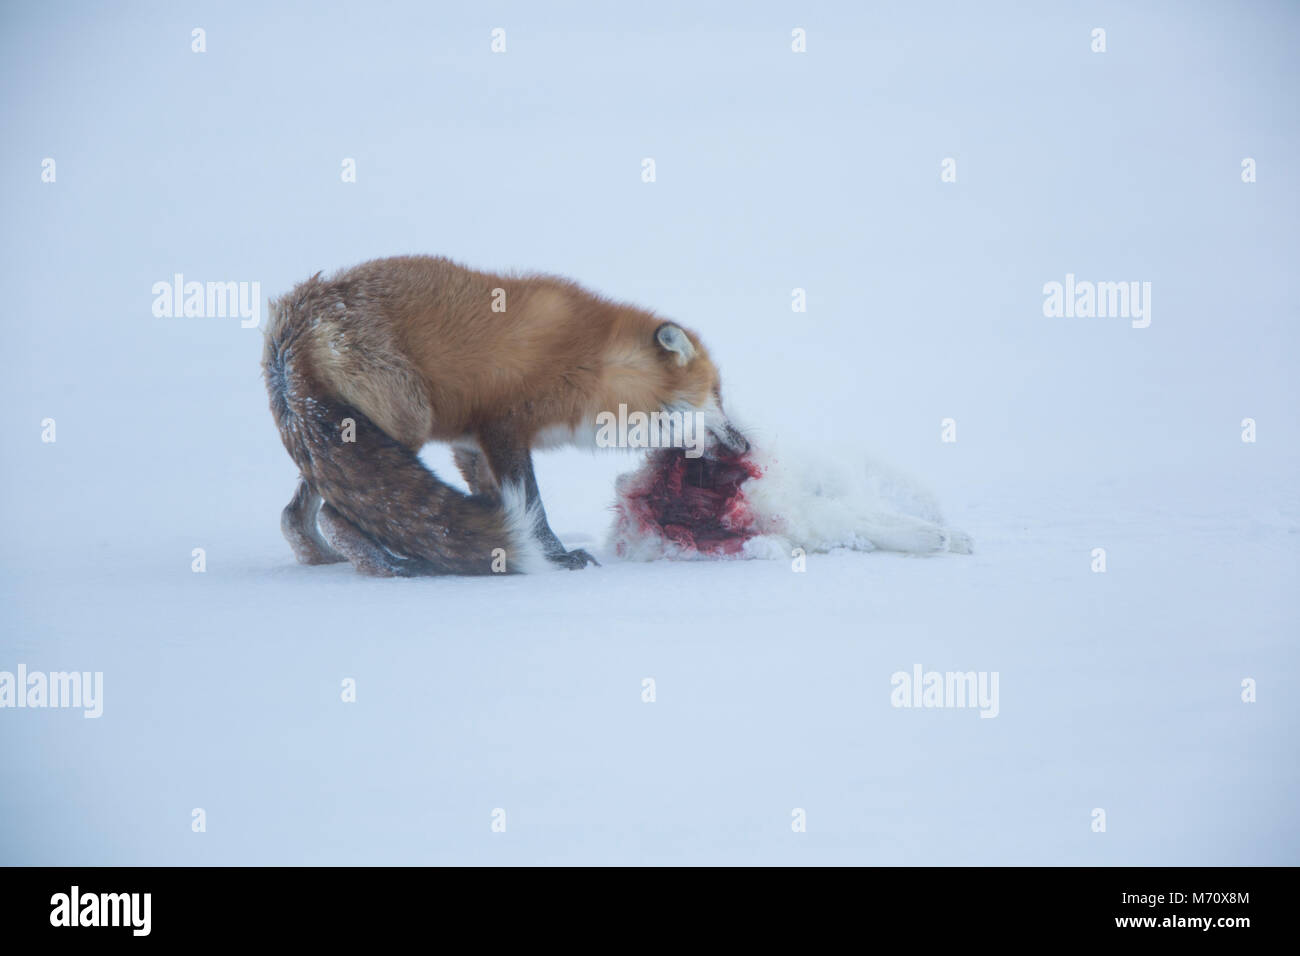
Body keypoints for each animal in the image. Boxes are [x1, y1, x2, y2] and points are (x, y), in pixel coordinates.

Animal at [262, 256, 748, 574]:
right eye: (718, 394)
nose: (745, 443)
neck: (596, 365)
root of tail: (298, 318)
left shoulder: (470, 444)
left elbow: (501, 503)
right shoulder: (504, 429)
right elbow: (532, 506)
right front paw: (556, 557)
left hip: (343, 442)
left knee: (295, 516)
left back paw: (324, 561)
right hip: (405, 423)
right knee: (334, 515)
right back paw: (393, 568)